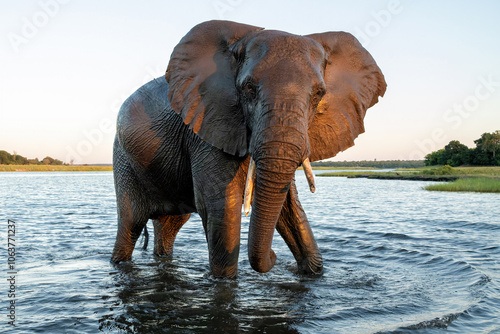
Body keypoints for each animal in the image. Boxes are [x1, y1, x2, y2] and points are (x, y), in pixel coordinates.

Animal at [112, 19, 386, 278]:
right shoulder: (207, 124)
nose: (275, 257)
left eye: (319, 94)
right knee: (131, 223)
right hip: (123, 158)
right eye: (248, 89)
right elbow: (221, 207)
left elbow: (288, 206)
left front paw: (312, 273)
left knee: (170, 225)